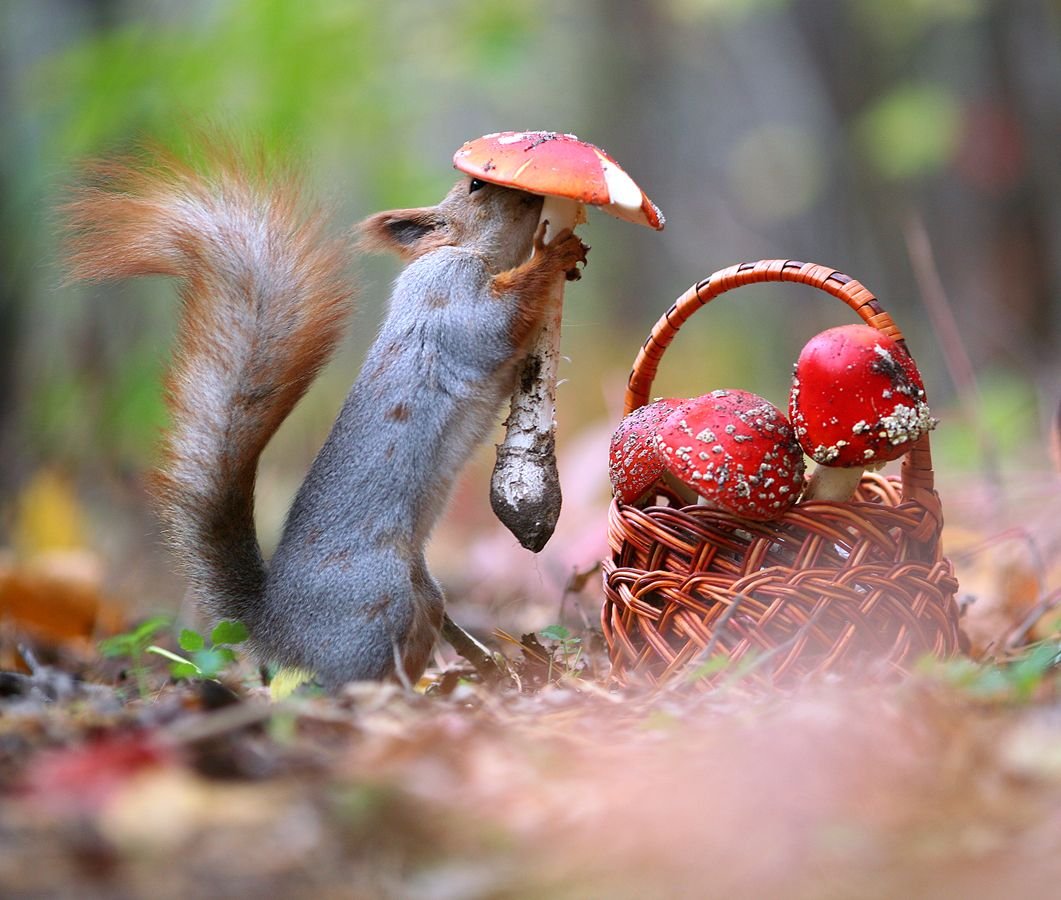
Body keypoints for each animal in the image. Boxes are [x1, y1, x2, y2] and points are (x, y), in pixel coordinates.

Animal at [65, 147, 589, 687]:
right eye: (476, 188)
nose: (531, 191)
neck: (477, 253)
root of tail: (275, 629)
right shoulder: (448, 292)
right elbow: (494, 321)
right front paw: (555, 255)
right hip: (375, 602)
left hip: (420, 597)